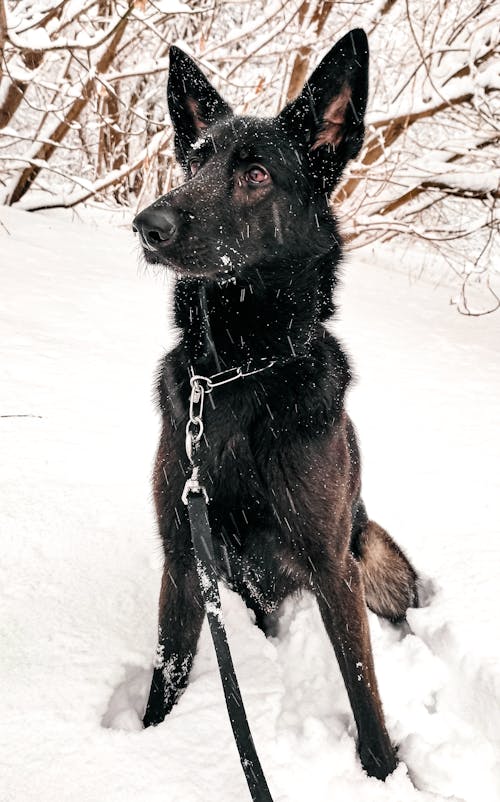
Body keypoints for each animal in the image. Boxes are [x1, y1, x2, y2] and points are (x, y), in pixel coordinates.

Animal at [133, 28, 418, 780]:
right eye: (195, 160)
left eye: (256, 174)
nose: (146, 223)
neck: (236, 374)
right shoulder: (185, 558)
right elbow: (167, 674)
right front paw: (142, 743)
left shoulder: (333, 568)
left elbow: (364, 690)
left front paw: (383, 773)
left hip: (377, 557)